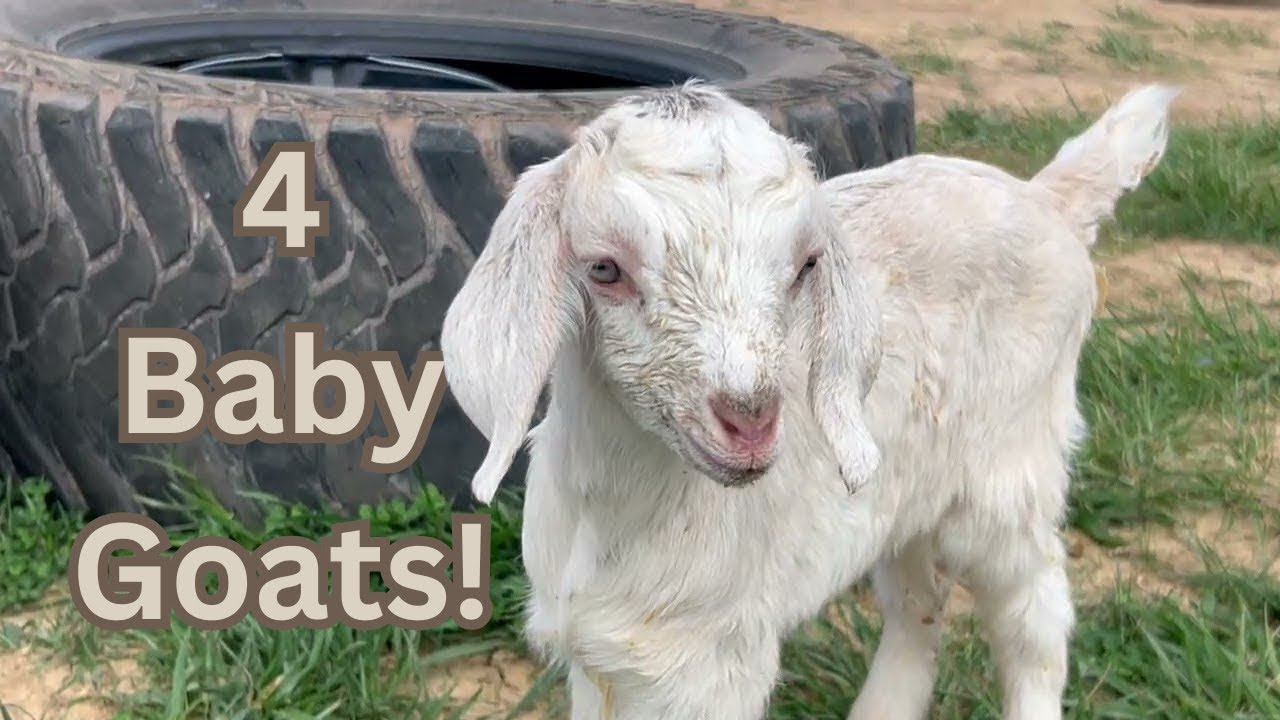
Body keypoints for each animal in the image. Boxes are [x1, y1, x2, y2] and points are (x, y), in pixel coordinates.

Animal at [441, 81, 1179, 720]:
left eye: (803, 266)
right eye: (603, 268)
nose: (750, 420)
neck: (619, 518)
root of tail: (1046, 199)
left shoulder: (710, 661)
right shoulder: (602, 659)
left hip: (1010, 464)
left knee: (1034, 612)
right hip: (901, 485)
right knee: (920, 601)